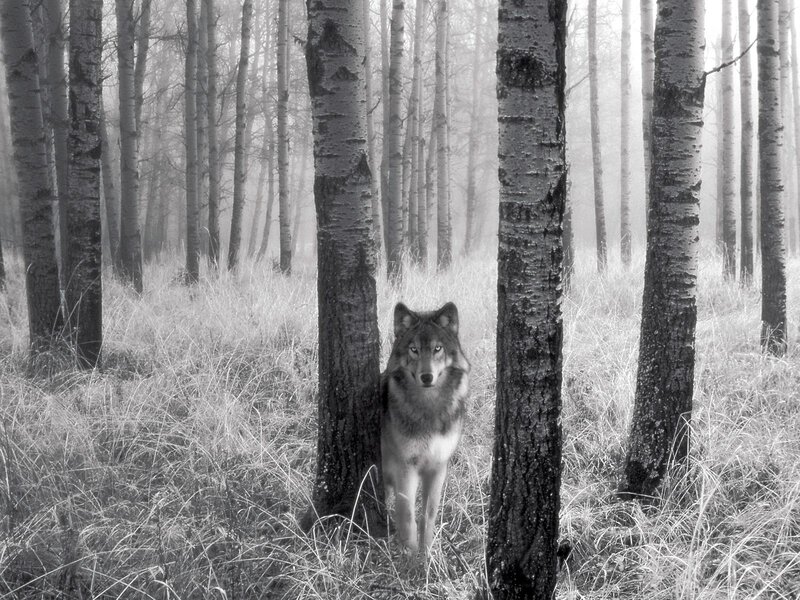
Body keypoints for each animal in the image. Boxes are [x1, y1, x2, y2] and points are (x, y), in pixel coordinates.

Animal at [381, 301, 470, 553]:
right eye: (414, 350)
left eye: (437, 348)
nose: (427, 376)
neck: (429, 408)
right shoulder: (406, 468)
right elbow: (408, 517)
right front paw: (410, 558)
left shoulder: (438, 466)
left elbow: (428, 516)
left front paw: (427, 554)